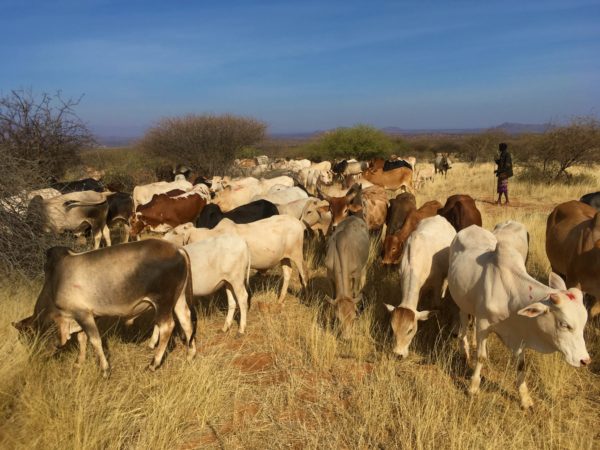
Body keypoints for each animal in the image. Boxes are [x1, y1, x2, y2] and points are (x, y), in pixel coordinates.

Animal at [12, 239, 195, 376]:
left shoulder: (83, 314)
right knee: (186, 321)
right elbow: (82, 339)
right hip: (177, 299)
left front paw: (105, 370)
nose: (32, 360)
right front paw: (79, 363)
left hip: (162, 302)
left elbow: (95, 340)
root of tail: (178, 249)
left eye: (28, 338)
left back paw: (153, 364)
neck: (54, 283)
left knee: (167, 327)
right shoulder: (81, 317)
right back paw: (190, 355)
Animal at [164, 214, 308, 302]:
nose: (163, 239)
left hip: (297, 254)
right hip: (285, 257)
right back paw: (280, 299)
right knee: (288, 273)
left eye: (175, 232)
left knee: (303, 275)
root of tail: (298, 222)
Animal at [448, 225, 588, 408]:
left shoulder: (519, 337)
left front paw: (525, 399)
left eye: (584, 324)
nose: (585, 360)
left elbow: (521, 366)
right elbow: (481, 357)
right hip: (462, 302)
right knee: (463, 323)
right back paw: (464, 351)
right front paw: (473, 387)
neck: (511, 297)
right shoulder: (484, 326)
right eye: (564, 324)